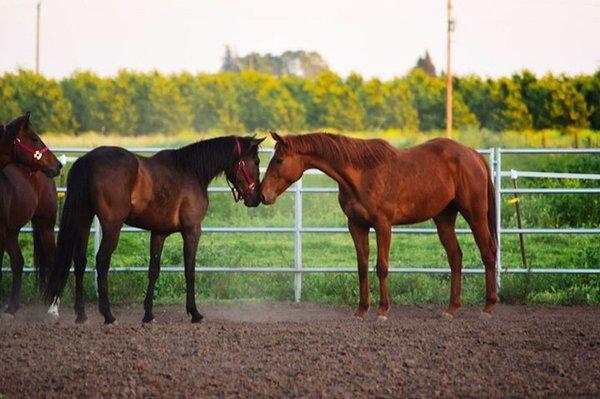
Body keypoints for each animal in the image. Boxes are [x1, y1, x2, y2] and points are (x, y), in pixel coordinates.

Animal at [0, 113, 62, 318]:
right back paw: (12, 307)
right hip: (11, 231)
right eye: (34, 138)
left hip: (45, 226)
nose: (58, 165)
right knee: (18, 262)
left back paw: (53, 307)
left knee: (52, 261)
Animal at [44, 135, 264, 324]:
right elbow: (190, 271)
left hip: (84, 219)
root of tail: (88, 161)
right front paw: (194, 312)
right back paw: (108, 315)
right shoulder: (192, 230)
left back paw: (81, 315)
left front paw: (148, 314)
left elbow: (153, 271)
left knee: (80, 261)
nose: (256, 198)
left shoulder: (159, 233)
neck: (192, 171)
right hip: (112, 226)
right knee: (101, 261)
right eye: (256, 161)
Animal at [260, 133, 500, 320]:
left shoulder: (383, 225)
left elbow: (381, 266)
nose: (262, 194)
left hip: (475, 216)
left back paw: (488, 307)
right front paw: (361, 310)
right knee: (455, 257)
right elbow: (362, 267)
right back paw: (451, 309)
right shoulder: (356, 226)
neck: (361, 175)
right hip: (444, 219)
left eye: (279, 159)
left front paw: (383, 310)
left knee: (488, 253)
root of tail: (473, 154)